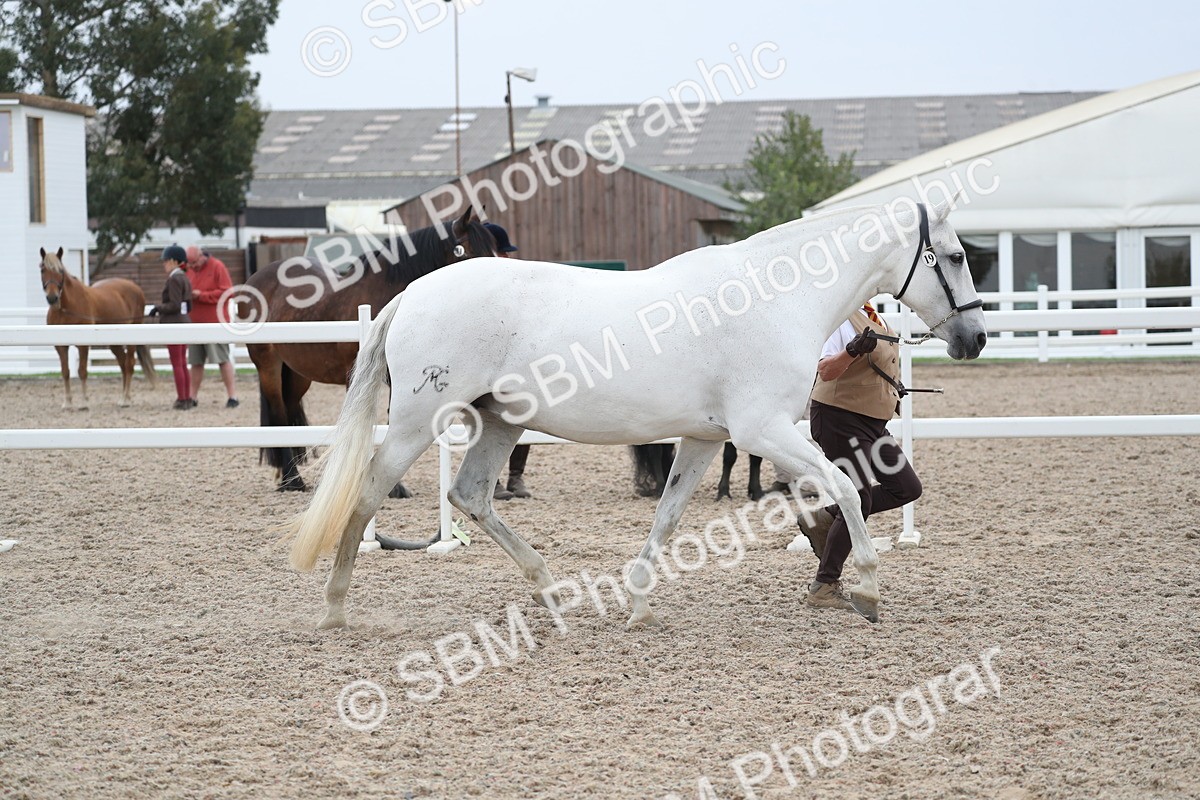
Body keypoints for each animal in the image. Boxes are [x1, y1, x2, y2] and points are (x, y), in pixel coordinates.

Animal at [39, 247, 157, 408]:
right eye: (42, 269)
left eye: (60, 271)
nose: (52, 298)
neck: (65, 309)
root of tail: (135, 288)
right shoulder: (61, 346)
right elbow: (65, 371)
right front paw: (67, 402)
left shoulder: (83, 345)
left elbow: (82, 371)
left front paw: (84, 402)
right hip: (114, 343)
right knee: (122, 364)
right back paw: (122, 397)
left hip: (130, 339)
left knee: (129, 364)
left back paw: (125, 399)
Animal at [244, 209, 496, 495]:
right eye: (465, 250)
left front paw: (395, 486)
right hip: (268, 367)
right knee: (279, 414)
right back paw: (292, 479)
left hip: (298, 375)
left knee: (289, 409)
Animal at [283, 200, 987, 630]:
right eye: (954, 257)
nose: (974, 338)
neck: (772, 297)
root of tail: (415, 291)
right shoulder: (764, 430)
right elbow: (843, 485)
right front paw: (867, 588)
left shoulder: (705, 439)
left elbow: (668, 516)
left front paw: (640, 604)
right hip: (417, 423)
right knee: (370, 492)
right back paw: (334, 609)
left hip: (501, 422)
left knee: (471, 495)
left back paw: (549, 590)